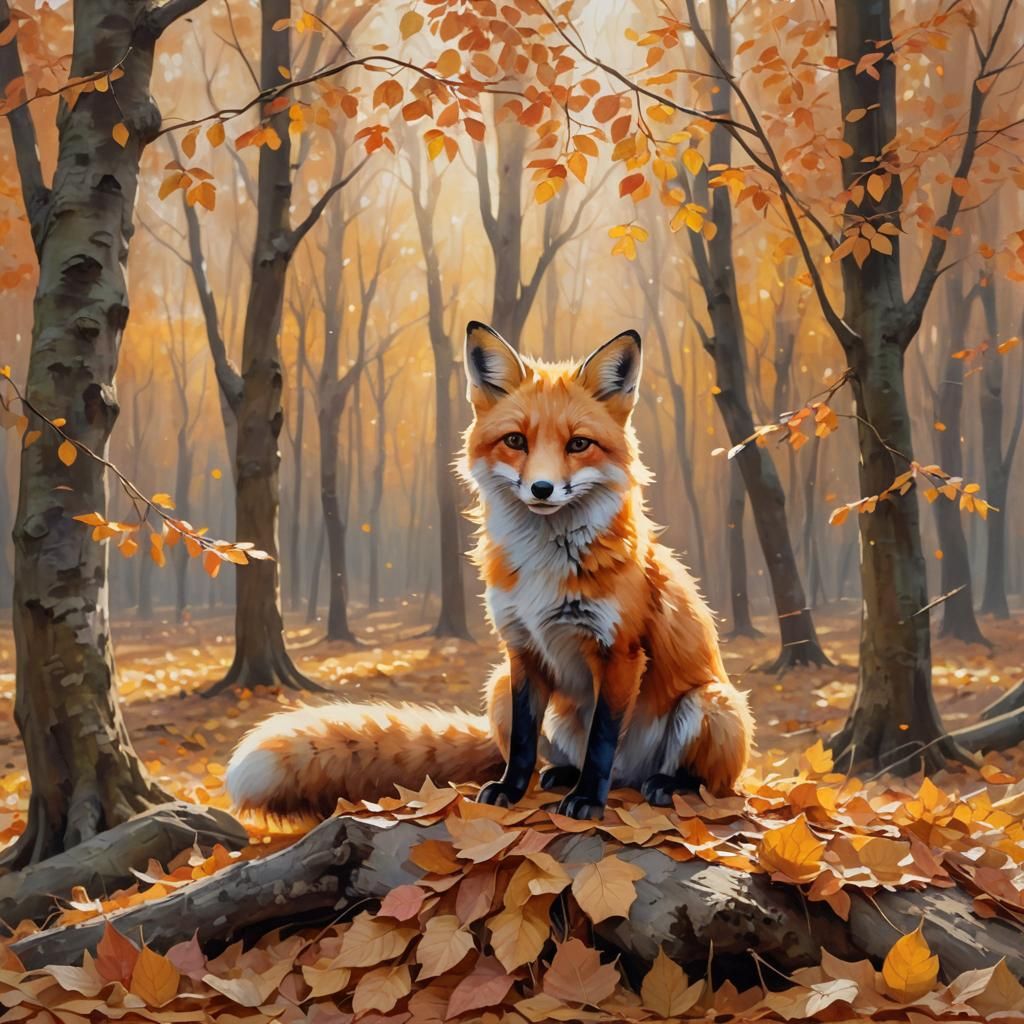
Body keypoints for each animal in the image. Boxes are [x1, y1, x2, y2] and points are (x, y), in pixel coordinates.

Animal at [226, 321, 753, 821]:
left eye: (579, 444)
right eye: (515, 441)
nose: (542, 489)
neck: (546, 563)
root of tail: (632, 776)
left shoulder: (620, 651)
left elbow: (603, 740)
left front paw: (588, 802)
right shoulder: (521, 649)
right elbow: (521, 744)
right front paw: (510, 791)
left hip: (712, 704)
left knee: (708, 782)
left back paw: (665, 785)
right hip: (498, 685)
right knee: (562, 759)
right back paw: (562, 776)